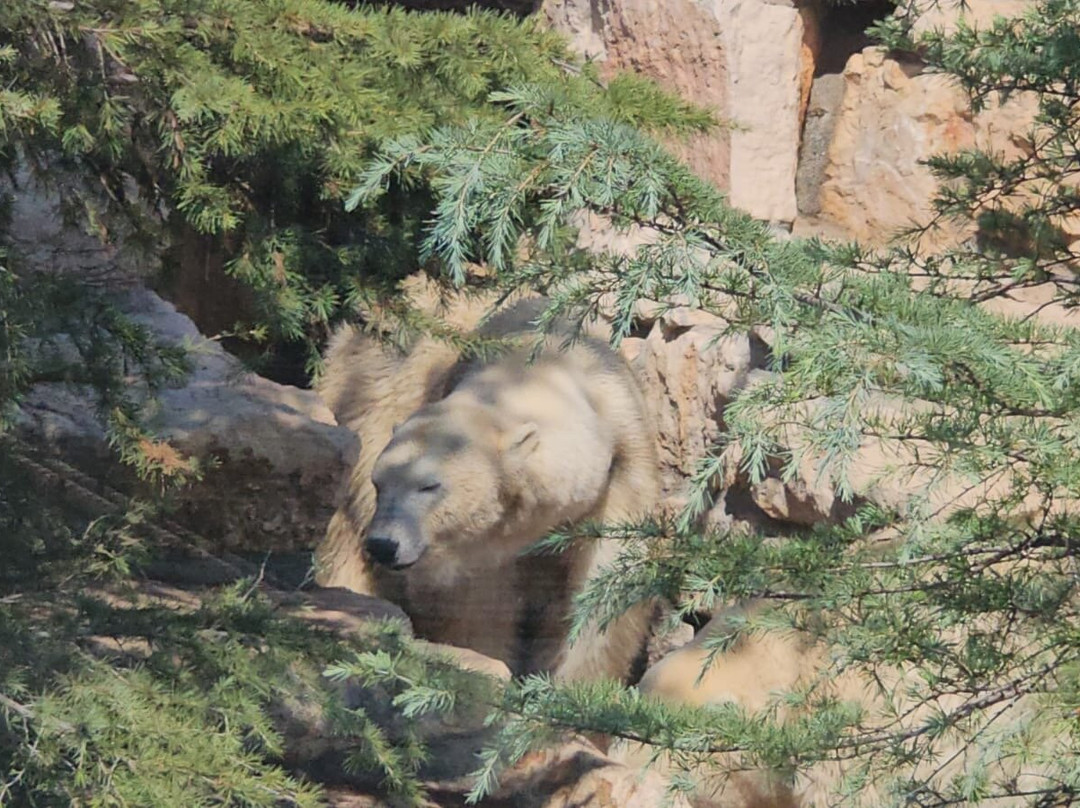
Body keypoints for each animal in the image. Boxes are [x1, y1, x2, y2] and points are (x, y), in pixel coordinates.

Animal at [314, 294, 661, 682]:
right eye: (381, 484)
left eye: (429, 486)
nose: (384, 545)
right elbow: (478, 601)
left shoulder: (623, 462)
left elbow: (607, 581)